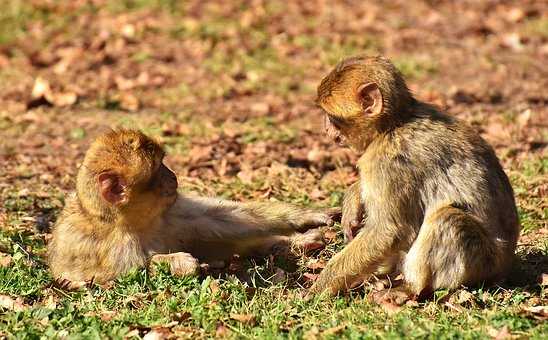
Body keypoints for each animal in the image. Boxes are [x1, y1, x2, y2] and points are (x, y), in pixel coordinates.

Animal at [48, 128, 338, 286]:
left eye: (163, 163)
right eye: (158, 169)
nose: (173, 176)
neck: (130, 221)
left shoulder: (170, 210)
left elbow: (220, 218)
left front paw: (302, 216)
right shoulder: (108, 246)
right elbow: (115, 275)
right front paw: (179, 263)